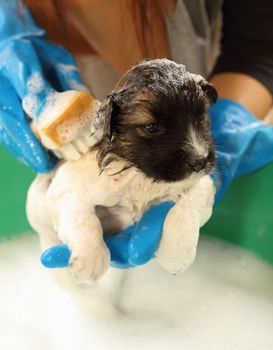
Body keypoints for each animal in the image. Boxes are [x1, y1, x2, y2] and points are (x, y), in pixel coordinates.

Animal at [26, 59, 216, 284]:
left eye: (200, 118)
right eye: (152, 127)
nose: (200, 161)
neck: (139, 174)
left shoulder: (202, 183)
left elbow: (189, 206)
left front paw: (176, 254)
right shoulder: (67, 189)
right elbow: (86, 220)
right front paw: (91, 260)